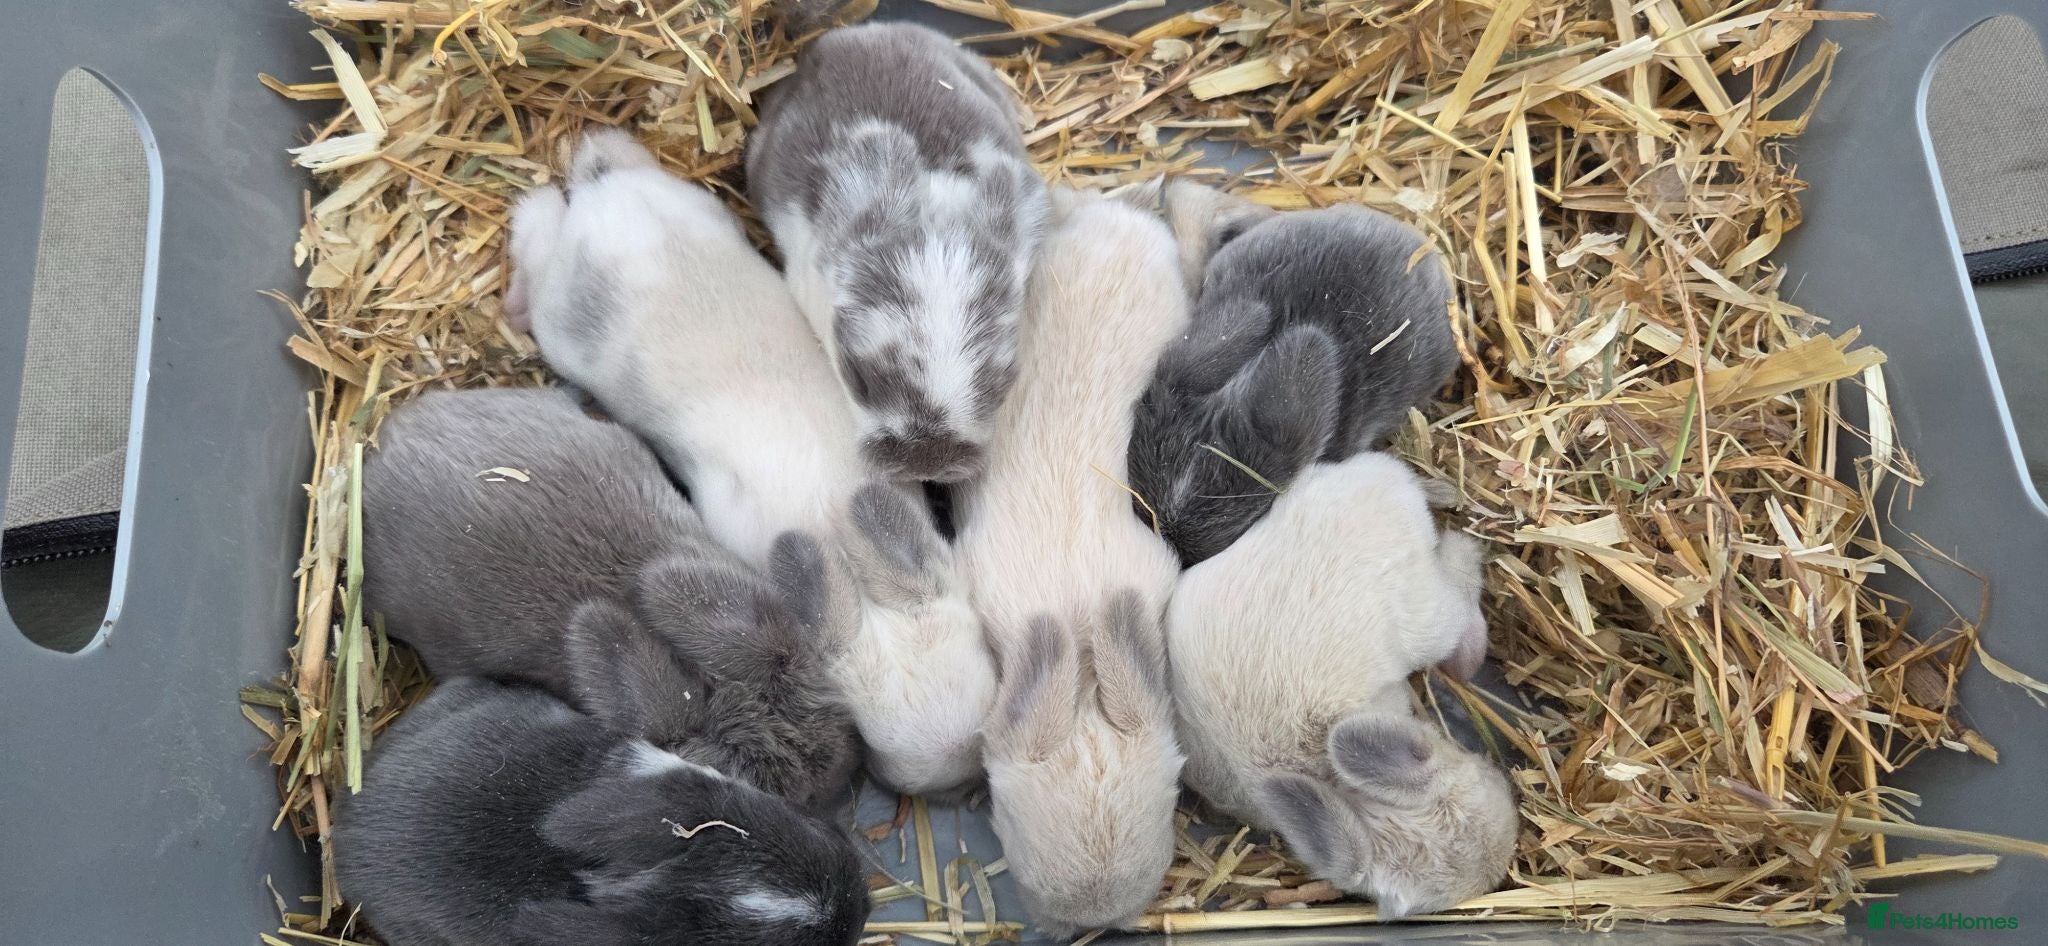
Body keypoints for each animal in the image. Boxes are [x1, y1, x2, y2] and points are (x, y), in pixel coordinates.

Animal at [509, 129, 996, 796]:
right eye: (879, 753)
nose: (959, 783)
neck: (839, 545)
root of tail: (603, 198)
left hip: (695, 210)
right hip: (561, 317)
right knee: (537, 235)